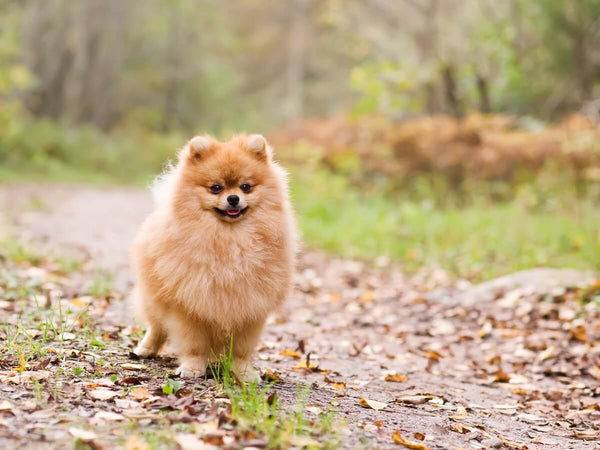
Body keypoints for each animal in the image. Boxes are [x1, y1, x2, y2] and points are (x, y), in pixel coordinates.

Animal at [134, 134, 298, 380]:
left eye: (246, 187)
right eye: (216, 188)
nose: (233, 198)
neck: (230, 239)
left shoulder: (251, 306)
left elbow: (242, 349)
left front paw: (244, 372)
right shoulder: (189, 304)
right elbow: (194, 344)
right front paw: (192, 368)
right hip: (156, 297)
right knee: (156, 326)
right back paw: (145, 349)